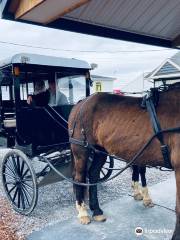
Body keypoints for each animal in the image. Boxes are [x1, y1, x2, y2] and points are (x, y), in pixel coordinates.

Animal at [68, 83, 180, 240]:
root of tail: (81, 103)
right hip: (81, 150)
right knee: (79, 178)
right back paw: (83, 213)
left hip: (100, 150)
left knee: (93, 174)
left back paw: (96, 210)